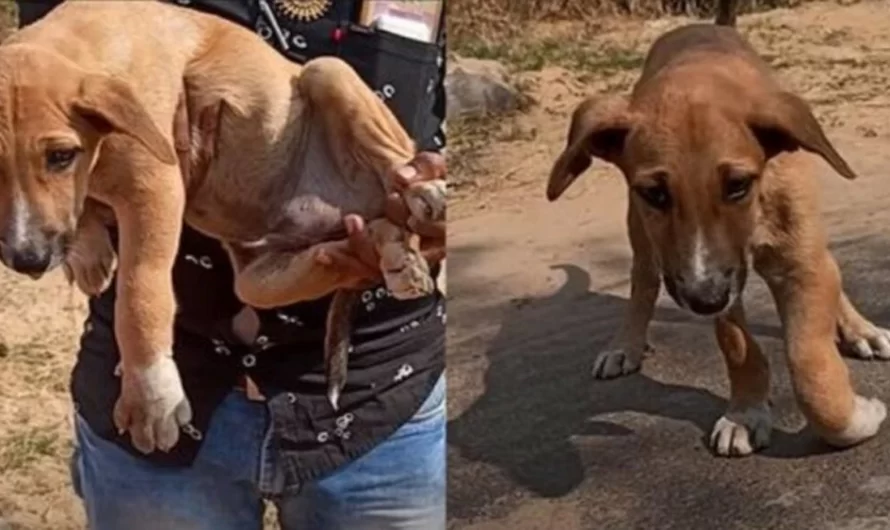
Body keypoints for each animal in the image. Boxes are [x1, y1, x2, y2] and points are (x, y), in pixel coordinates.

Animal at [0, 1, 444, 454]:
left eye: (61, 156)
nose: (28, 259)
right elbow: (83, 208)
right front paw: (89, 255)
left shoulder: (154, 184)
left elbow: (141, 293)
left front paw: (151, 399)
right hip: (261, 279)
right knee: (356, 246)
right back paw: (391, 258)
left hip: (328, 72)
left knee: (397, 168)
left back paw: (427, 196)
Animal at [544, 1, 884, 454]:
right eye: (655, 193)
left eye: (737, 185)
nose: (704, 299)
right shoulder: (714, 278)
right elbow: (737, 345)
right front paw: (746, 412)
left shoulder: (795, 260)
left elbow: (810, 366)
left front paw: (857, 414)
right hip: (642, 236)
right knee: (643, 281)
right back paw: (625, 345)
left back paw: (860, 329)